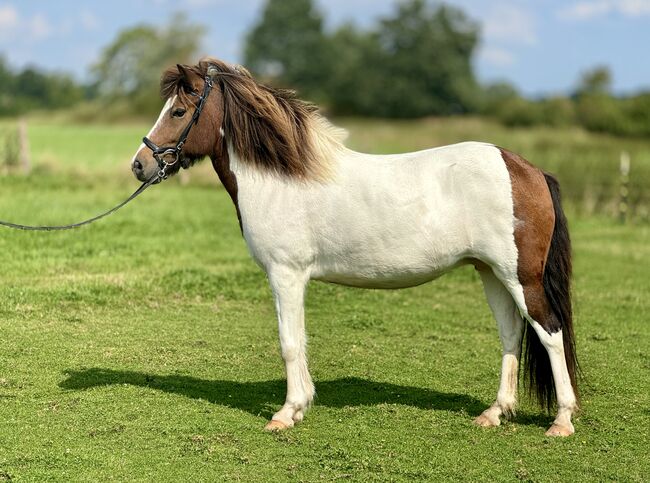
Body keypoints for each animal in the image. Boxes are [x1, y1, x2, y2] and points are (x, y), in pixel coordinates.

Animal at [130, 58, 576, 436]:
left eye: (178, 112)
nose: (139, 164)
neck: (281, 179)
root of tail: (528, 169)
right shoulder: (293, 279)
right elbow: (300, 340)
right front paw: (300, 405)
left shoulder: (286, 275)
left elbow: (289, 342)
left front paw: (286, 413)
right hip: (492, 274)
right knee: (510, 334)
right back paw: (494, 413)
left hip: (521, 278)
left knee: (550, 333)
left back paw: (562, 420)